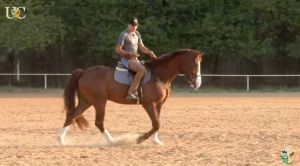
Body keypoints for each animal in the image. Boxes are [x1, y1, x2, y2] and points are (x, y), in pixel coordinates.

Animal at [58, 48, 204, 145]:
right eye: (194, 64)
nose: (197, 83)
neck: (158, 75)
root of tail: (84, 72)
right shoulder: (149, 104)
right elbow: (156, 124)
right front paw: (140, 139)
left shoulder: (158, 104)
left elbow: (157, 122)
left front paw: (156, 140)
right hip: (99, 101)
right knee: (98, 122)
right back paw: (112, 141)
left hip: (87, 101)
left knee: (72, 116)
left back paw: (61, 140)